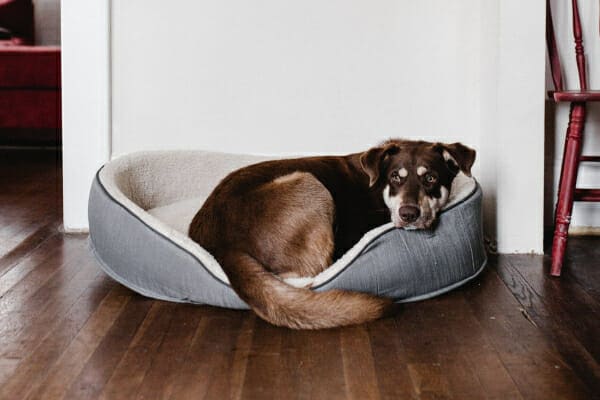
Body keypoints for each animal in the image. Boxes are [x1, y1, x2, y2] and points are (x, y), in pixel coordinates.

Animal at [190, 139, 476, 330]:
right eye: (396, 177)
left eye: (430, 178)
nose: (408, 214)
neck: (379, 189)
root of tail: (221, 245)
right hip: (310, 184)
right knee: (311, 273)